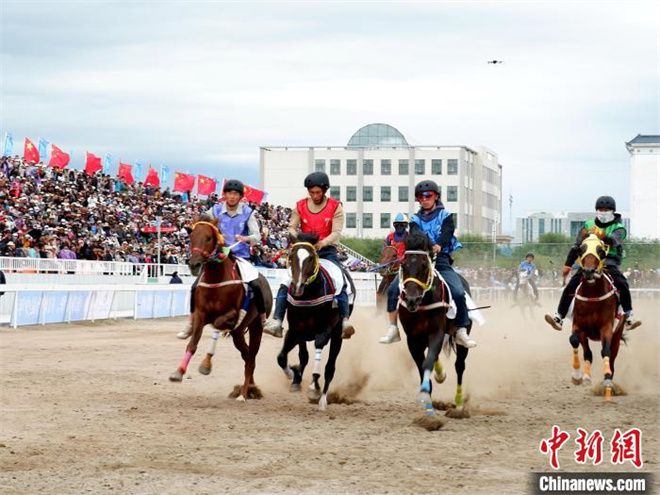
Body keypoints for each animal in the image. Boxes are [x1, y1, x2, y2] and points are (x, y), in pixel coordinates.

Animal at [171, 219, 274, 402]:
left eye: (209, 238)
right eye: (191, 237)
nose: (194, 265)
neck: (216, 281)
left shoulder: (232, 315)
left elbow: (218, 324)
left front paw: (206, 365)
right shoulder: (201, 314)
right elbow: (192, 344)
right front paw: (179, 372)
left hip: (255, 327)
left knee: (251, 356)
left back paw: (244, 394)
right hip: (238, 333)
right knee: (247, 355)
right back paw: (251, 389)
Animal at [274, 234, 356, 412]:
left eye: (310, 258)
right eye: (291, 256)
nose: (297, 286)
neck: (308, 294)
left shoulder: (324, 331)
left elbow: (318, 350)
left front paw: (313, 387)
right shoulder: (296, 330)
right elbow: (285, 357)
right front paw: (294, 376)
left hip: (337, 335)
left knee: (330, 367)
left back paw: (322, 399)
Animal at [568, 235, 624, 404]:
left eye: (601, 250)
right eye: (581, 249)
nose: (588, 272)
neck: (592, 296)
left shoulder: (606, 326)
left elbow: (605, 351)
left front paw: (607, 380)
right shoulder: (579, 325)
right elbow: (575, 341)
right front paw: (578, 376)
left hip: (618, 332)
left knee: (612, 355)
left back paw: (609, 382)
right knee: (588, 352)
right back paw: (586, 376)